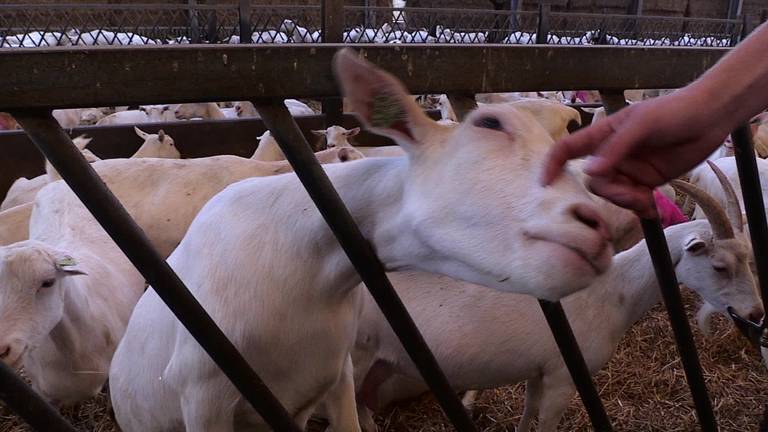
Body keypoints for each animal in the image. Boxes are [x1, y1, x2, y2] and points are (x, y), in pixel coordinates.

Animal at [354, 177, 760, 430]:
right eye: (720, 266)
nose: (756, 314)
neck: (612, 291)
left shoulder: (539, 370)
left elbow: (527, 411)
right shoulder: (564, 377)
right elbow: (547, 421)